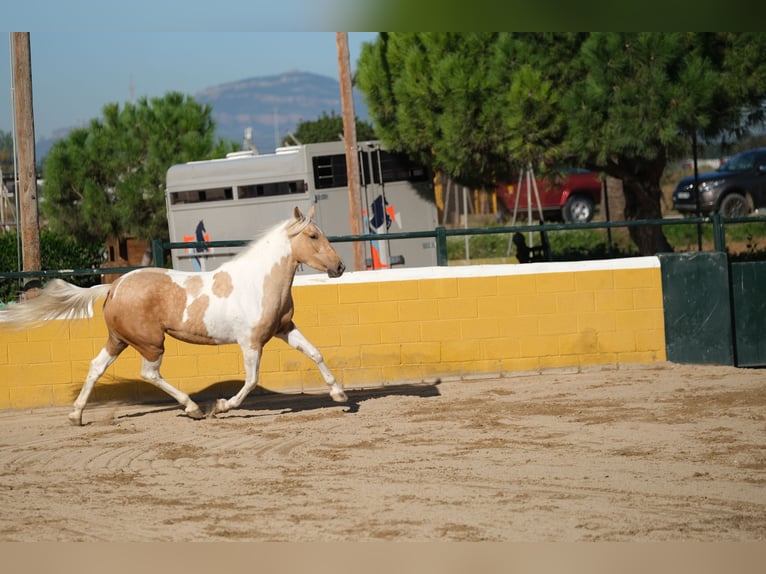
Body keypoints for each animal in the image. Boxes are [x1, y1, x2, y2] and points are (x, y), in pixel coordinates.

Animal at [0, 208, 348, 428]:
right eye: (313, 236)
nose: (340, 267)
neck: (258, 282)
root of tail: (114, 286)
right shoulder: (250, 342)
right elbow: (251, 381)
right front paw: (221, 406)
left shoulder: (284, 328)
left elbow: (315, 353)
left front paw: (340, 395)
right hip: (151, 342)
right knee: (149, 373)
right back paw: (193, 408)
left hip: (118, 340)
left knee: (97, 366)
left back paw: (76, 416)